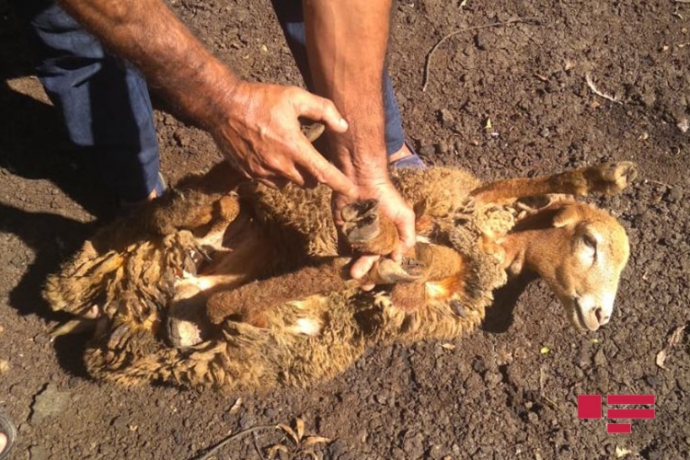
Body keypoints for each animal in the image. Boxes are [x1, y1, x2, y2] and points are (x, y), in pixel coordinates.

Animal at [43, 160, 636, 394]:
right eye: (589, 242)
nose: (601, 316)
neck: (492, 243)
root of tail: (111, 303)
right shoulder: (447, 207)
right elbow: (517, 186)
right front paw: (599, 176)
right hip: (236, 204)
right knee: (189, 206)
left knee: (213, 293)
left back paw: (196, 304)